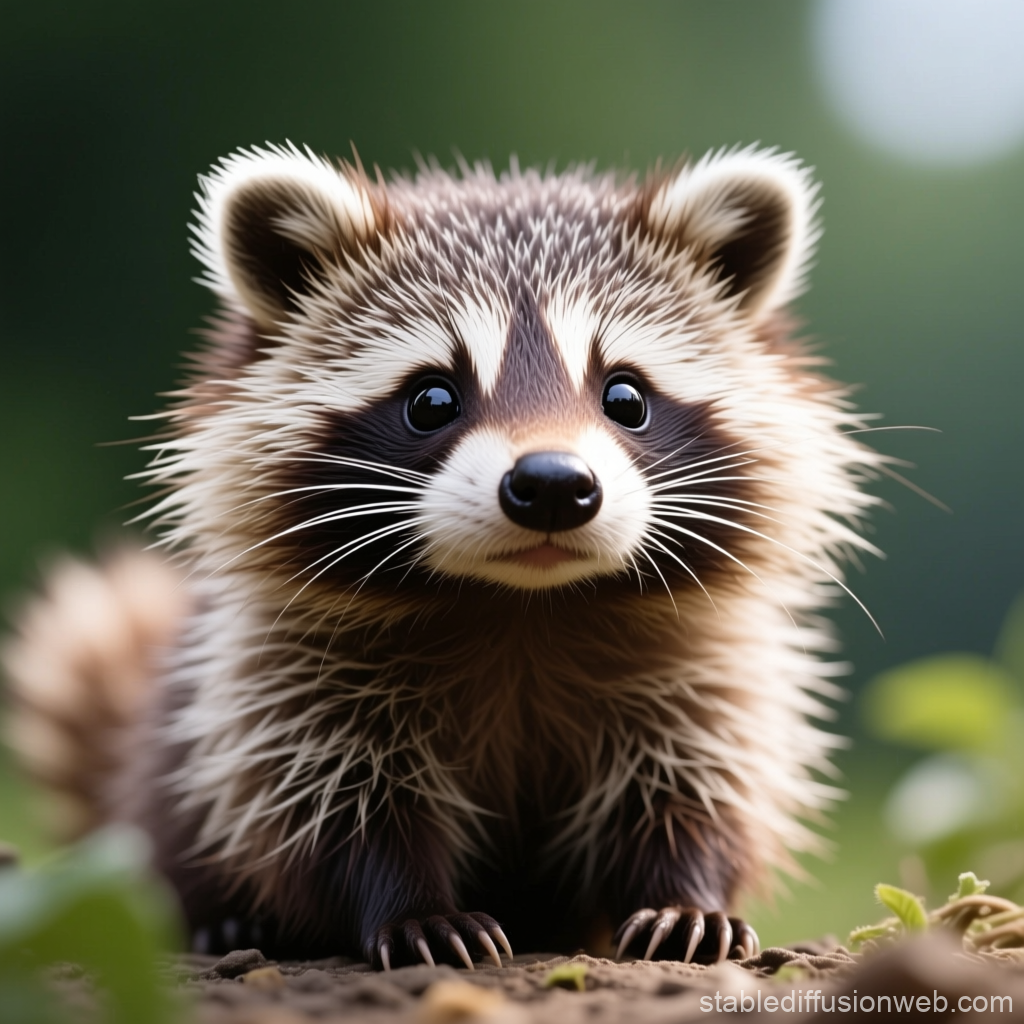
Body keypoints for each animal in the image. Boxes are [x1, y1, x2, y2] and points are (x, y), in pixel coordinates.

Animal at [4, 142, 882, 968]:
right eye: (432, 398)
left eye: (626, 397)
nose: (552, 484)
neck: (523, 601)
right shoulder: (288, 673)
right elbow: (328, 796)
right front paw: (410, 906)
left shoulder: (702, 664)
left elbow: (695, 780)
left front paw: (684, 892)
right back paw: (228, 920)